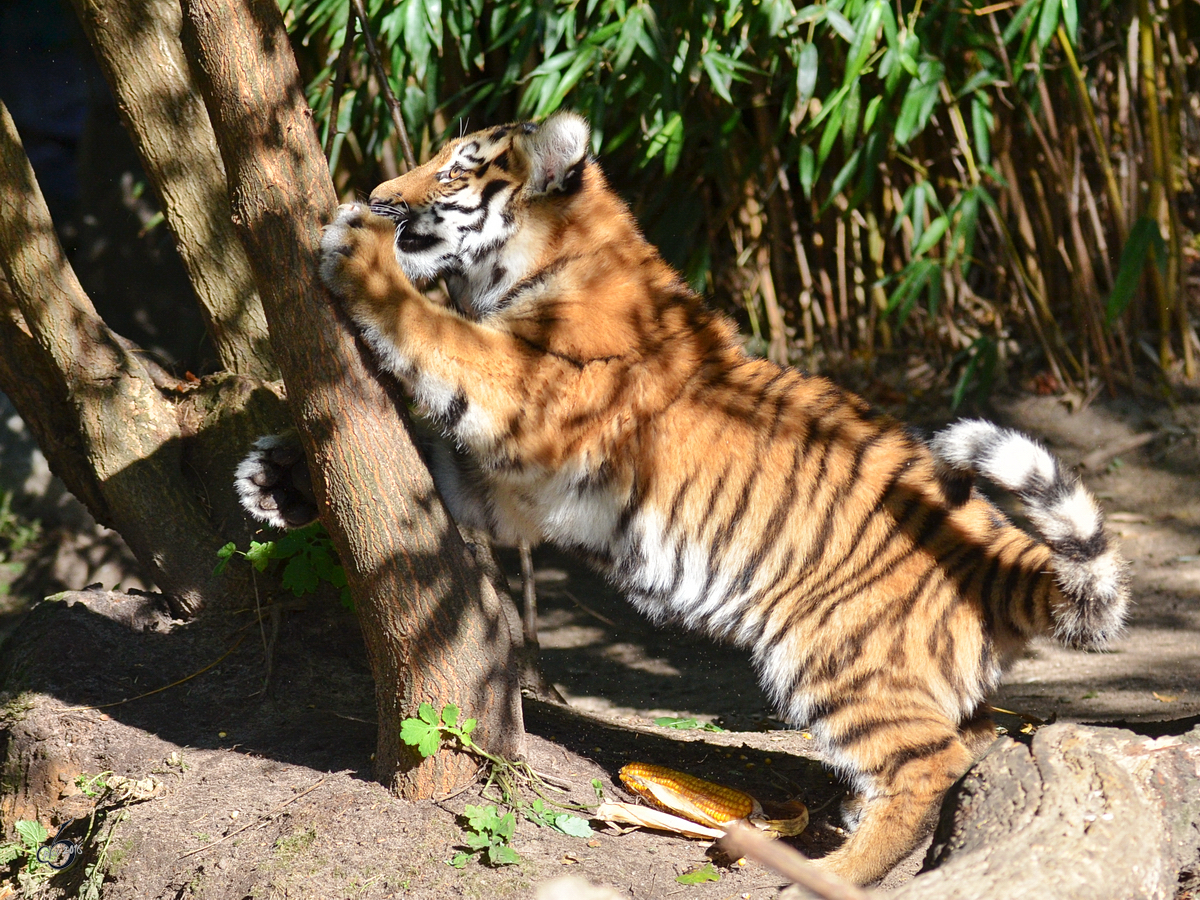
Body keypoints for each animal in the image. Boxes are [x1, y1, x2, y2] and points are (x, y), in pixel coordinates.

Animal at [238, 114, 1128, 888]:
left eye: (457, 168)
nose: (380, 194)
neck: (527, 267)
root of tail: (1003, 557)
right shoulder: (506, 487)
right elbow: (433, 446)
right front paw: (273, 479)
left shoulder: (526, 393)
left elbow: (432, 332)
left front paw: (356, 245)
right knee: (970, 736)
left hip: (839, 656)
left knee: (931, 762)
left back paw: (826, 873)